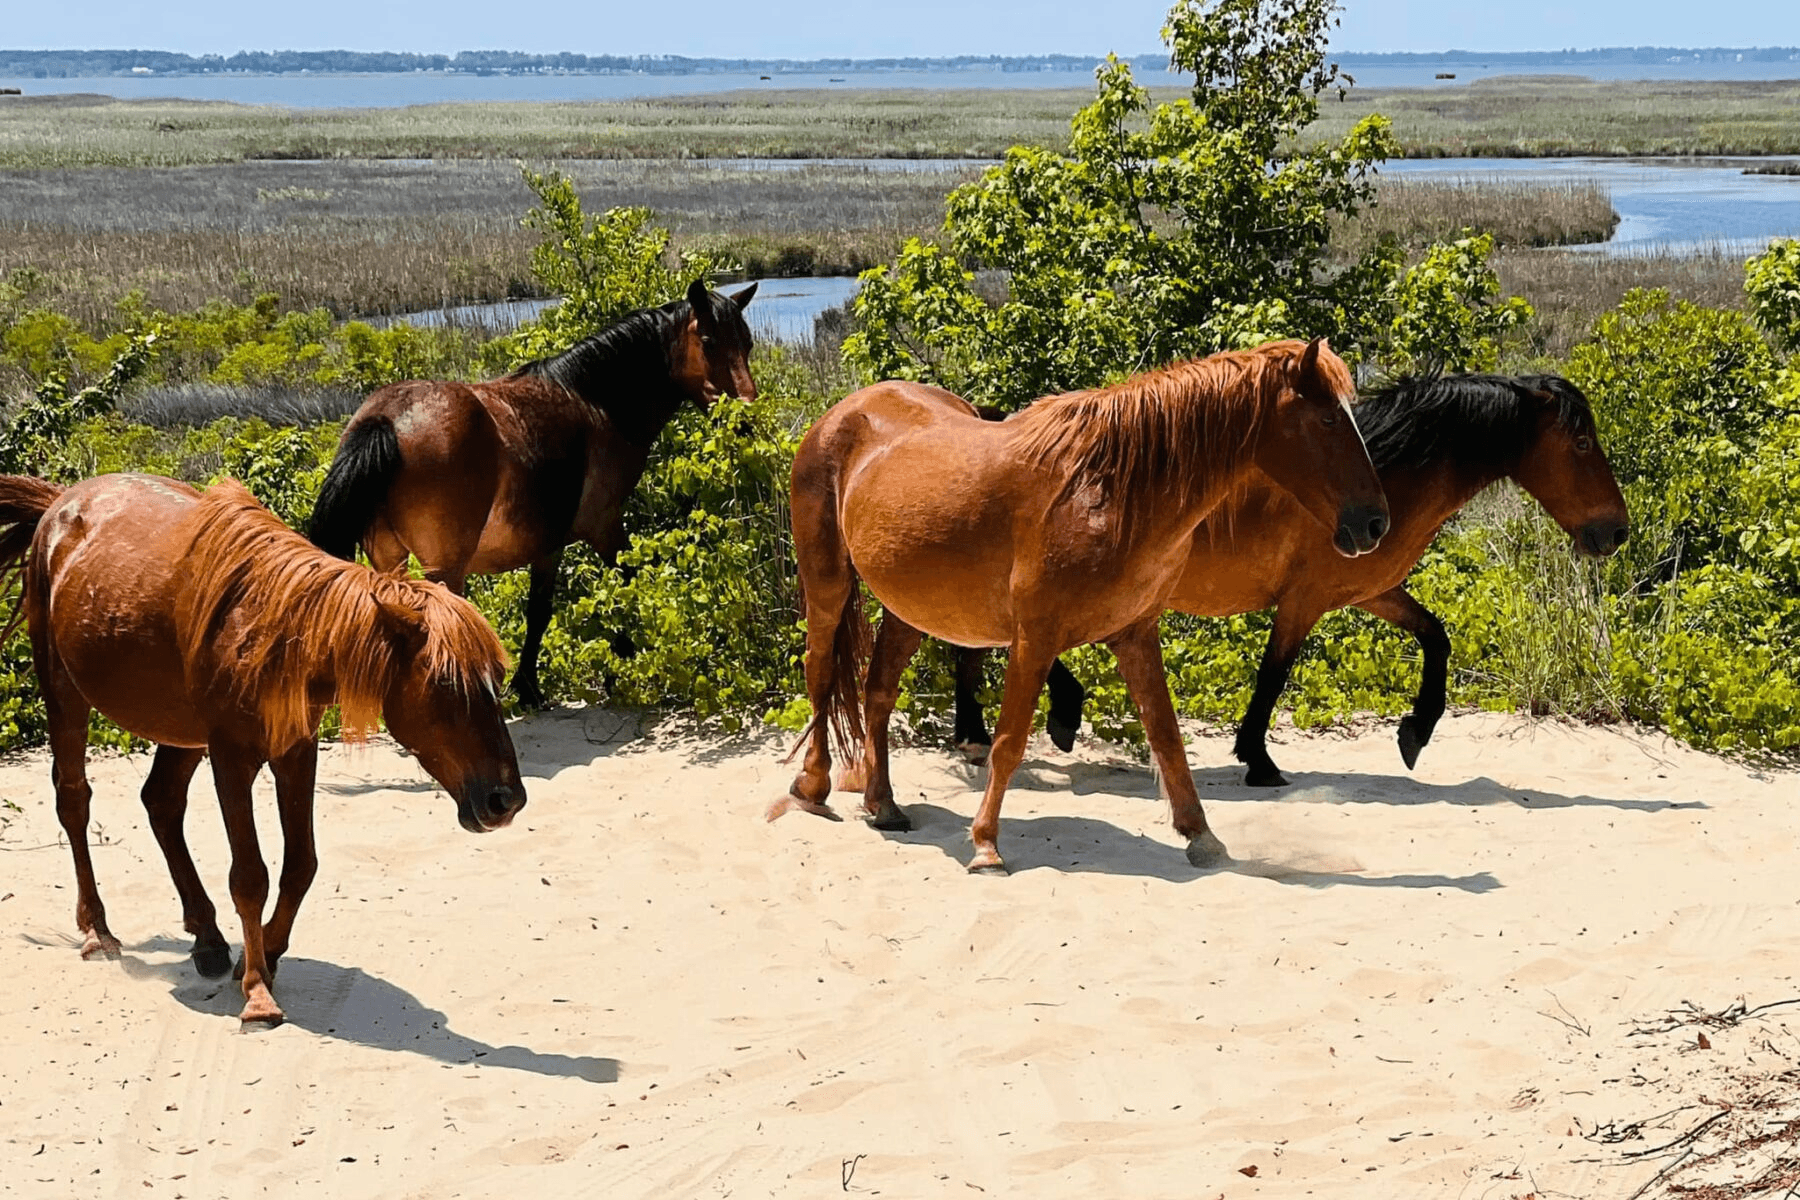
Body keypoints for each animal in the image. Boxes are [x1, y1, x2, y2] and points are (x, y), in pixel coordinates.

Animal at [0, 473, 524, 1026]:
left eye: (497, 678)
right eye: (447, 685)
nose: (505, 800)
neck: (279, 631)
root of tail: (61, 504)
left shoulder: (296, 752)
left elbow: (301, 866)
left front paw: (265, 956)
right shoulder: (232, 759)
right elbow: (250, 877)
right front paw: (256, 991)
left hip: (183, 733)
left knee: (161, 802)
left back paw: (208, 939)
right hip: (65, 693)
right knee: (74, 800)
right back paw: (97, 930)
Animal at [308, 280, 758, 707]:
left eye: (747, 343)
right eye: (709, 342)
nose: (746, 419)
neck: (596, 403)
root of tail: (385, 420)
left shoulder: (549, 544)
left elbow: (541, 610)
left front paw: (531, 685)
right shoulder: (600, 528)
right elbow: (617, 589)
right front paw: (619, 664)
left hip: (390, 561)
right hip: (445, 570)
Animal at [771, 338, 1390, 873]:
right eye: (1329, 420)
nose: (1374, 524)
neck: (1108, 495)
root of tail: (843, 413)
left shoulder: (1136, 634)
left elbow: (1167, 738)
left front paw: (1202, 835)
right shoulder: (1035, 638)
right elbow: (1009, 743)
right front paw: (986, 846)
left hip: (910, 607)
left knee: (877, 692)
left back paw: (883, 804)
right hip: (827, 585)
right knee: (821, 673)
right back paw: (811, 785)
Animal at [933, 373, 1631, 786]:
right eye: (1581, 441)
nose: (1616, 531)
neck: (1381, 476)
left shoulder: (1369, 591)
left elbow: (1436, 635)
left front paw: (1416, 732)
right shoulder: (1305, 600)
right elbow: (1274, 675)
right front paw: (1259, 760)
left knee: (971, 642)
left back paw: (976, 731)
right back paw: (1055, 715)